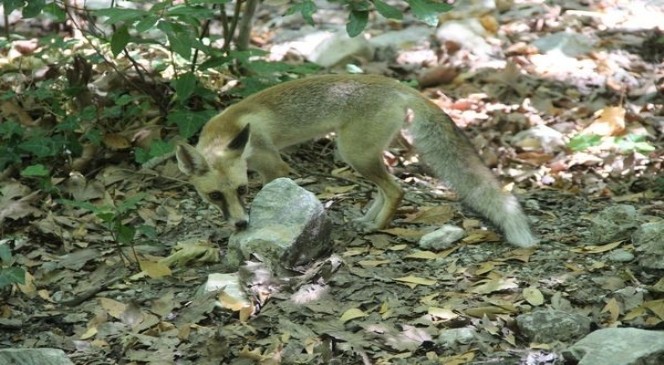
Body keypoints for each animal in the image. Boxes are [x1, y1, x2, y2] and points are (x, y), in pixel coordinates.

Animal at [176, 75, 540, 249]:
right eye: (214, 195)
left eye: (241, 189)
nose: (240, 224)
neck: (227, 129)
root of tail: (396, 85)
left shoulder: (274, 166)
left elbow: (272, 197)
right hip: (361, 154)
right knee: (386, 188)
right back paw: (369, 220)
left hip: (353, 153)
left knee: (396, 190)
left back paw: (378, 226)